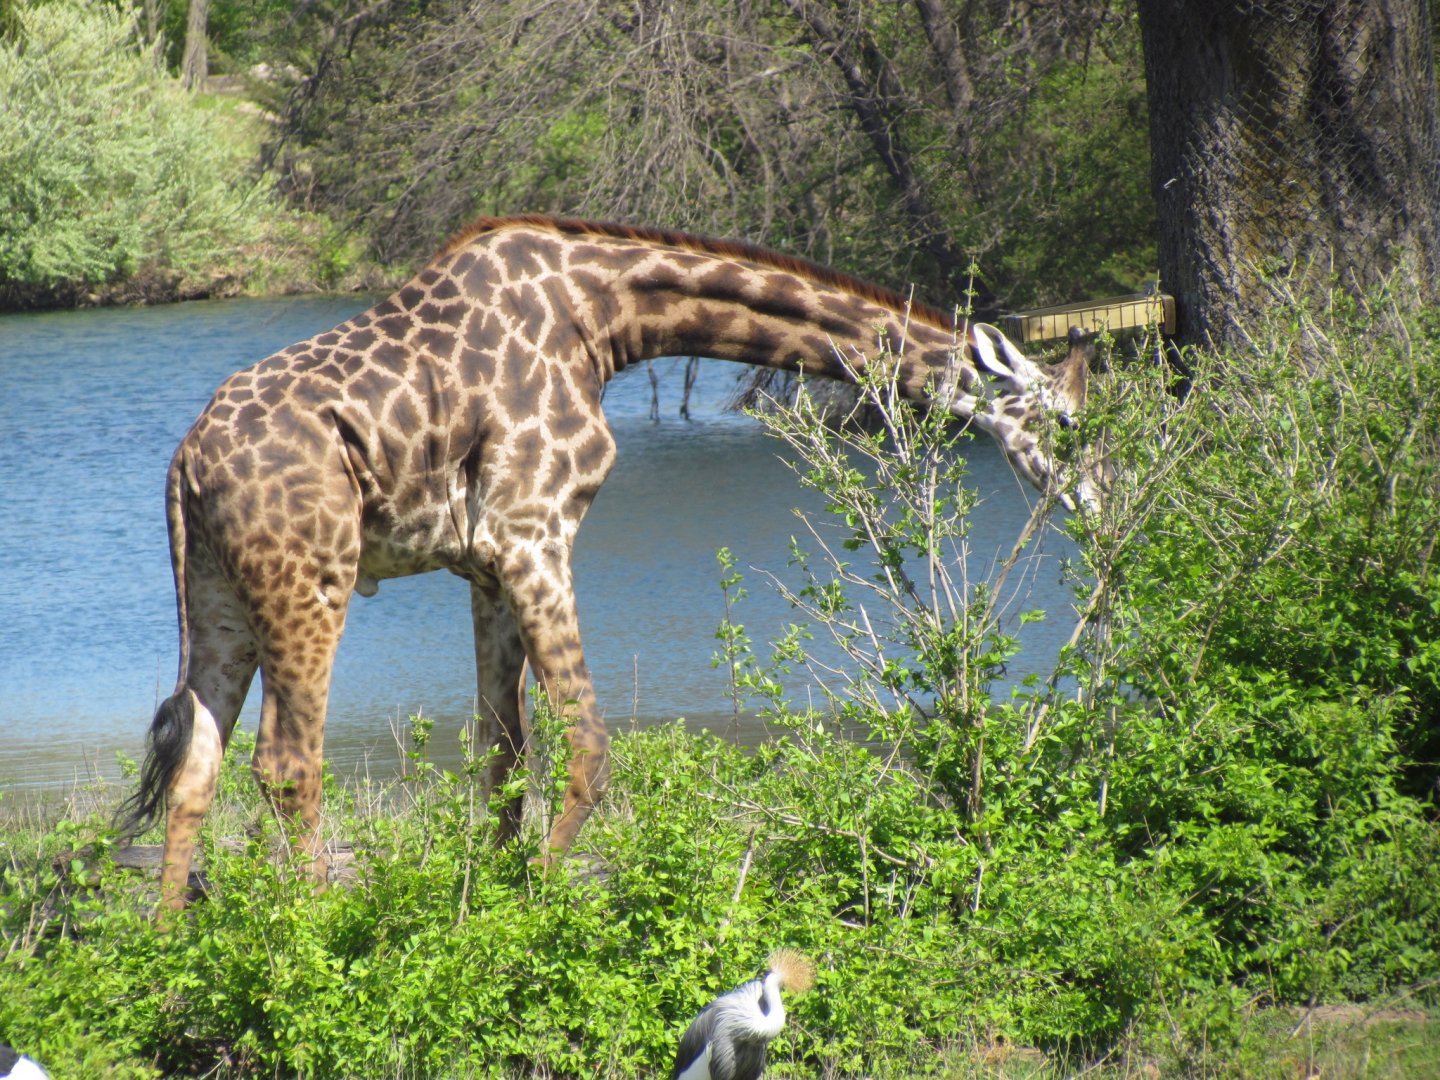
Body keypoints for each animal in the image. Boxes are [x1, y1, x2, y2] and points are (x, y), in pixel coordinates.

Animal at [117, 215, 1095, 912]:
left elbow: (505, 752)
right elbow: (589, 745)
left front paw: (492, 901)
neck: (604, 317)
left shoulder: (484, 564)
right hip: (310, 581)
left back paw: (168, 952)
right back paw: (314, 933)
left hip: (219, 601)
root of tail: (184, 465)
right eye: (1065, 422)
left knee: (197, 762)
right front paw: (543, 903)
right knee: (286, 762)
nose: (1097, 504)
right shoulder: (532, 532)